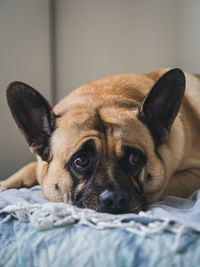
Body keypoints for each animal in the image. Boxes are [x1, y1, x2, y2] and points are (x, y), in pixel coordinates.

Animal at [0, 68, 200, 215]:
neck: (102, 97)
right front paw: (7, 183)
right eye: (80, 160)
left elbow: (162, 188)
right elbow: (30, 169)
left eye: (134, 158)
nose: (115, 199)